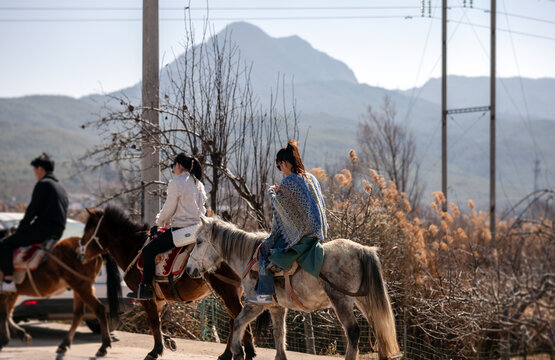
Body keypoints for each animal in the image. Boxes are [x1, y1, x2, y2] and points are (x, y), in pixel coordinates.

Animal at [81, 207, 258, 360]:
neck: (133, 248)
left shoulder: (147, 298)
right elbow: (155, 323)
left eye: (88, 231)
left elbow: (153, 322)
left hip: (226, 290)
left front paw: (155, 351)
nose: (80, 251)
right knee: (234, 320)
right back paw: (227, 354)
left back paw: (246, 353)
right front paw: (167, 341)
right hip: (232, 291)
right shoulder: (158, 299)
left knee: (239, 318)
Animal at [188, 217, 404, 360]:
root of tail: (361, 250)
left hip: (341, 301)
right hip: (363, 300)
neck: (250, 258)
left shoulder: (255, 304)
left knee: (353, 332)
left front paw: (237, 352)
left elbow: (238, 323)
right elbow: (279, 334)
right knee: (379, 328)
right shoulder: (277, 308)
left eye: (199, 242)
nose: (190, 269)